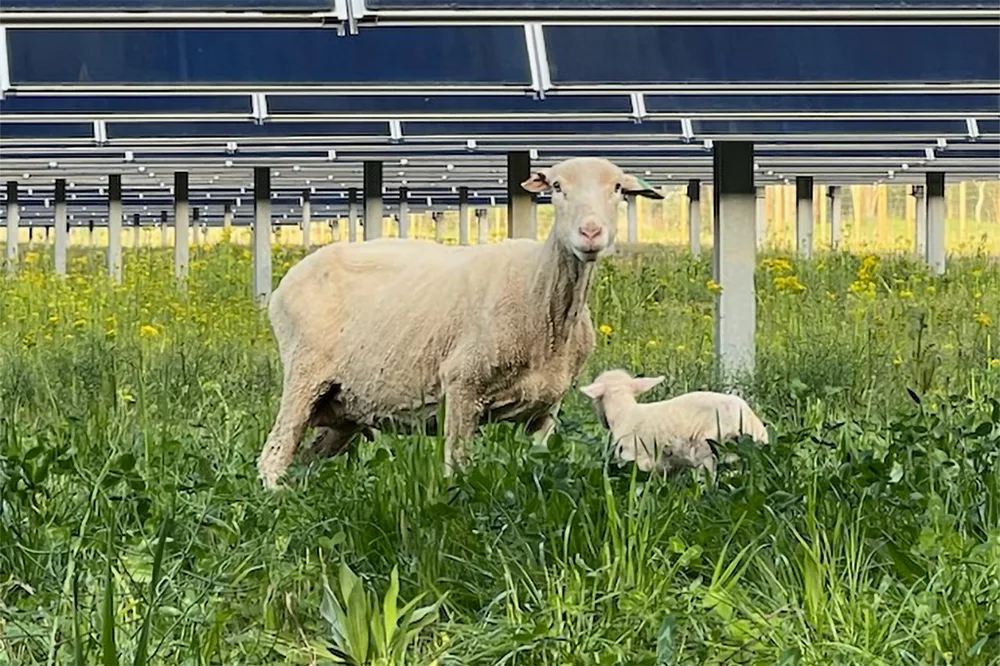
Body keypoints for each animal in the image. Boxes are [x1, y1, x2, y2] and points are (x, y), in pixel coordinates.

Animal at [258, 156, 664, 488]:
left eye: (617, 188)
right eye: (557, 187)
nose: (591, 233)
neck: (542, 295)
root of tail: (285, 285)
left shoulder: (546, 409)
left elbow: (538, 461)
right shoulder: (462, 385)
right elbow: (458, 467)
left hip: (345, 407)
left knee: (304, 459)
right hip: (305, 375)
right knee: (273, 456)